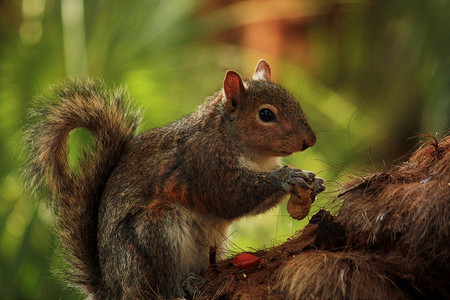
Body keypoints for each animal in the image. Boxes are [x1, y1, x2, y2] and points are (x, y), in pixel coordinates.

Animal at [24, 59, 322, 298]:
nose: (310, 140)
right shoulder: (205, 164)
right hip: (153, 233)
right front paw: (287, 176)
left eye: (295, 101)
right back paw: (180, 286)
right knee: (159, 286)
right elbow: (232, 196)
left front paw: (314, 182)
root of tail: (113, 288)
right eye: (266, 114)